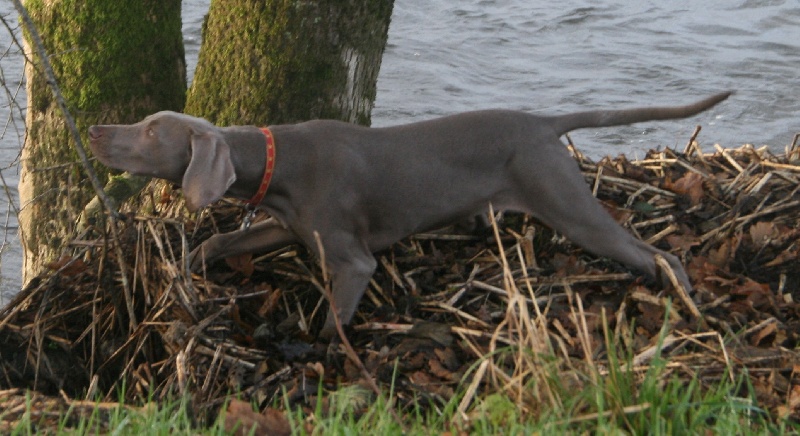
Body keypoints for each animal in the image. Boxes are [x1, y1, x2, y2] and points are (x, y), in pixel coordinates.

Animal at [89, 91, 732, 338]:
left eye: (151, 130)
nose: (95, 130)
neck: (275, 162)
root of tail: (544, 122)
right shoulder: (289, 222)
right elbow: (222, 243)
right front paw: (188, 267)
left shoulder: (352, 260)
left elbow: (335, 318)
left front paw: (323, 355)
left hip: (566, 202)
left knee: (655, 252)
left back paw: (686, 302)